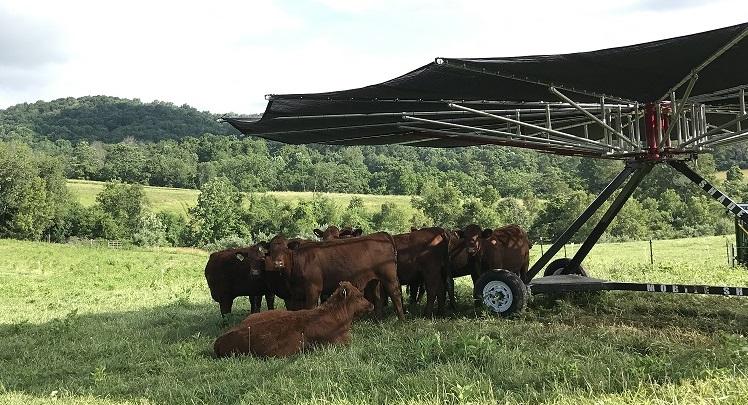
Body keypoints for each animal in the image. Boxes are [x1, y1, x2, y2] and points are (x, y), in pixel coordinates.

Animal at [262, 230, 404, 318]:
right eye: (271, 250)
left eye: (285, 249)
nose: (278, 263)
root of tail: (381, 234)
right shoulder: (296, 294)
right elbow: (297, 310)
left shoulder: (313, 289)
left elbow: (310, 308)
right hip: (373, 279)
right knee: (378, 297)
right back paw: (378, 320)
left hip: (389, 276)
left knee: (395, 294)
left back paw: (401, 319)